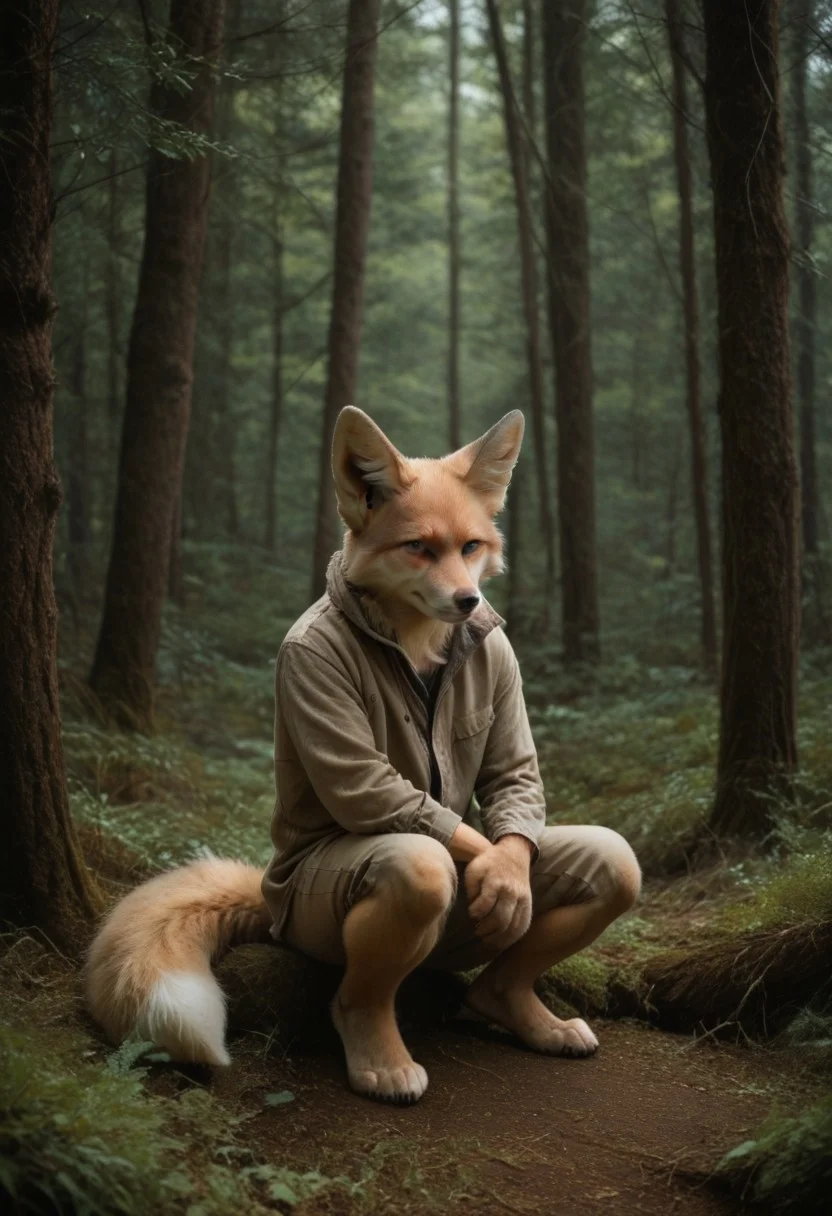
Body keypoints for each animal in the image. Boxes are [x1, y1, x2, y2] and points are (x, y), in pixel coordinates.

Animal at [86, 407, 640, 1098]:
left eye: (470, 547)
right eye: (419, 547)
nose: (469, 602)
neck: (414, 644)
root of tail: (271, 900)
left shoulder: (503, 680)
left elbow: (514, 787)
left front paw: (506, 881)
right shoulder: (337, 721)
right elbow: (396, 801)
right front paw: (497, 880)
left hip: (516, 913)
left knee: (605, 870)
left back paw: (520, 1011)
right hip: (337, 910)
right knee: (407, 895)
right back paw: (381, 1058)